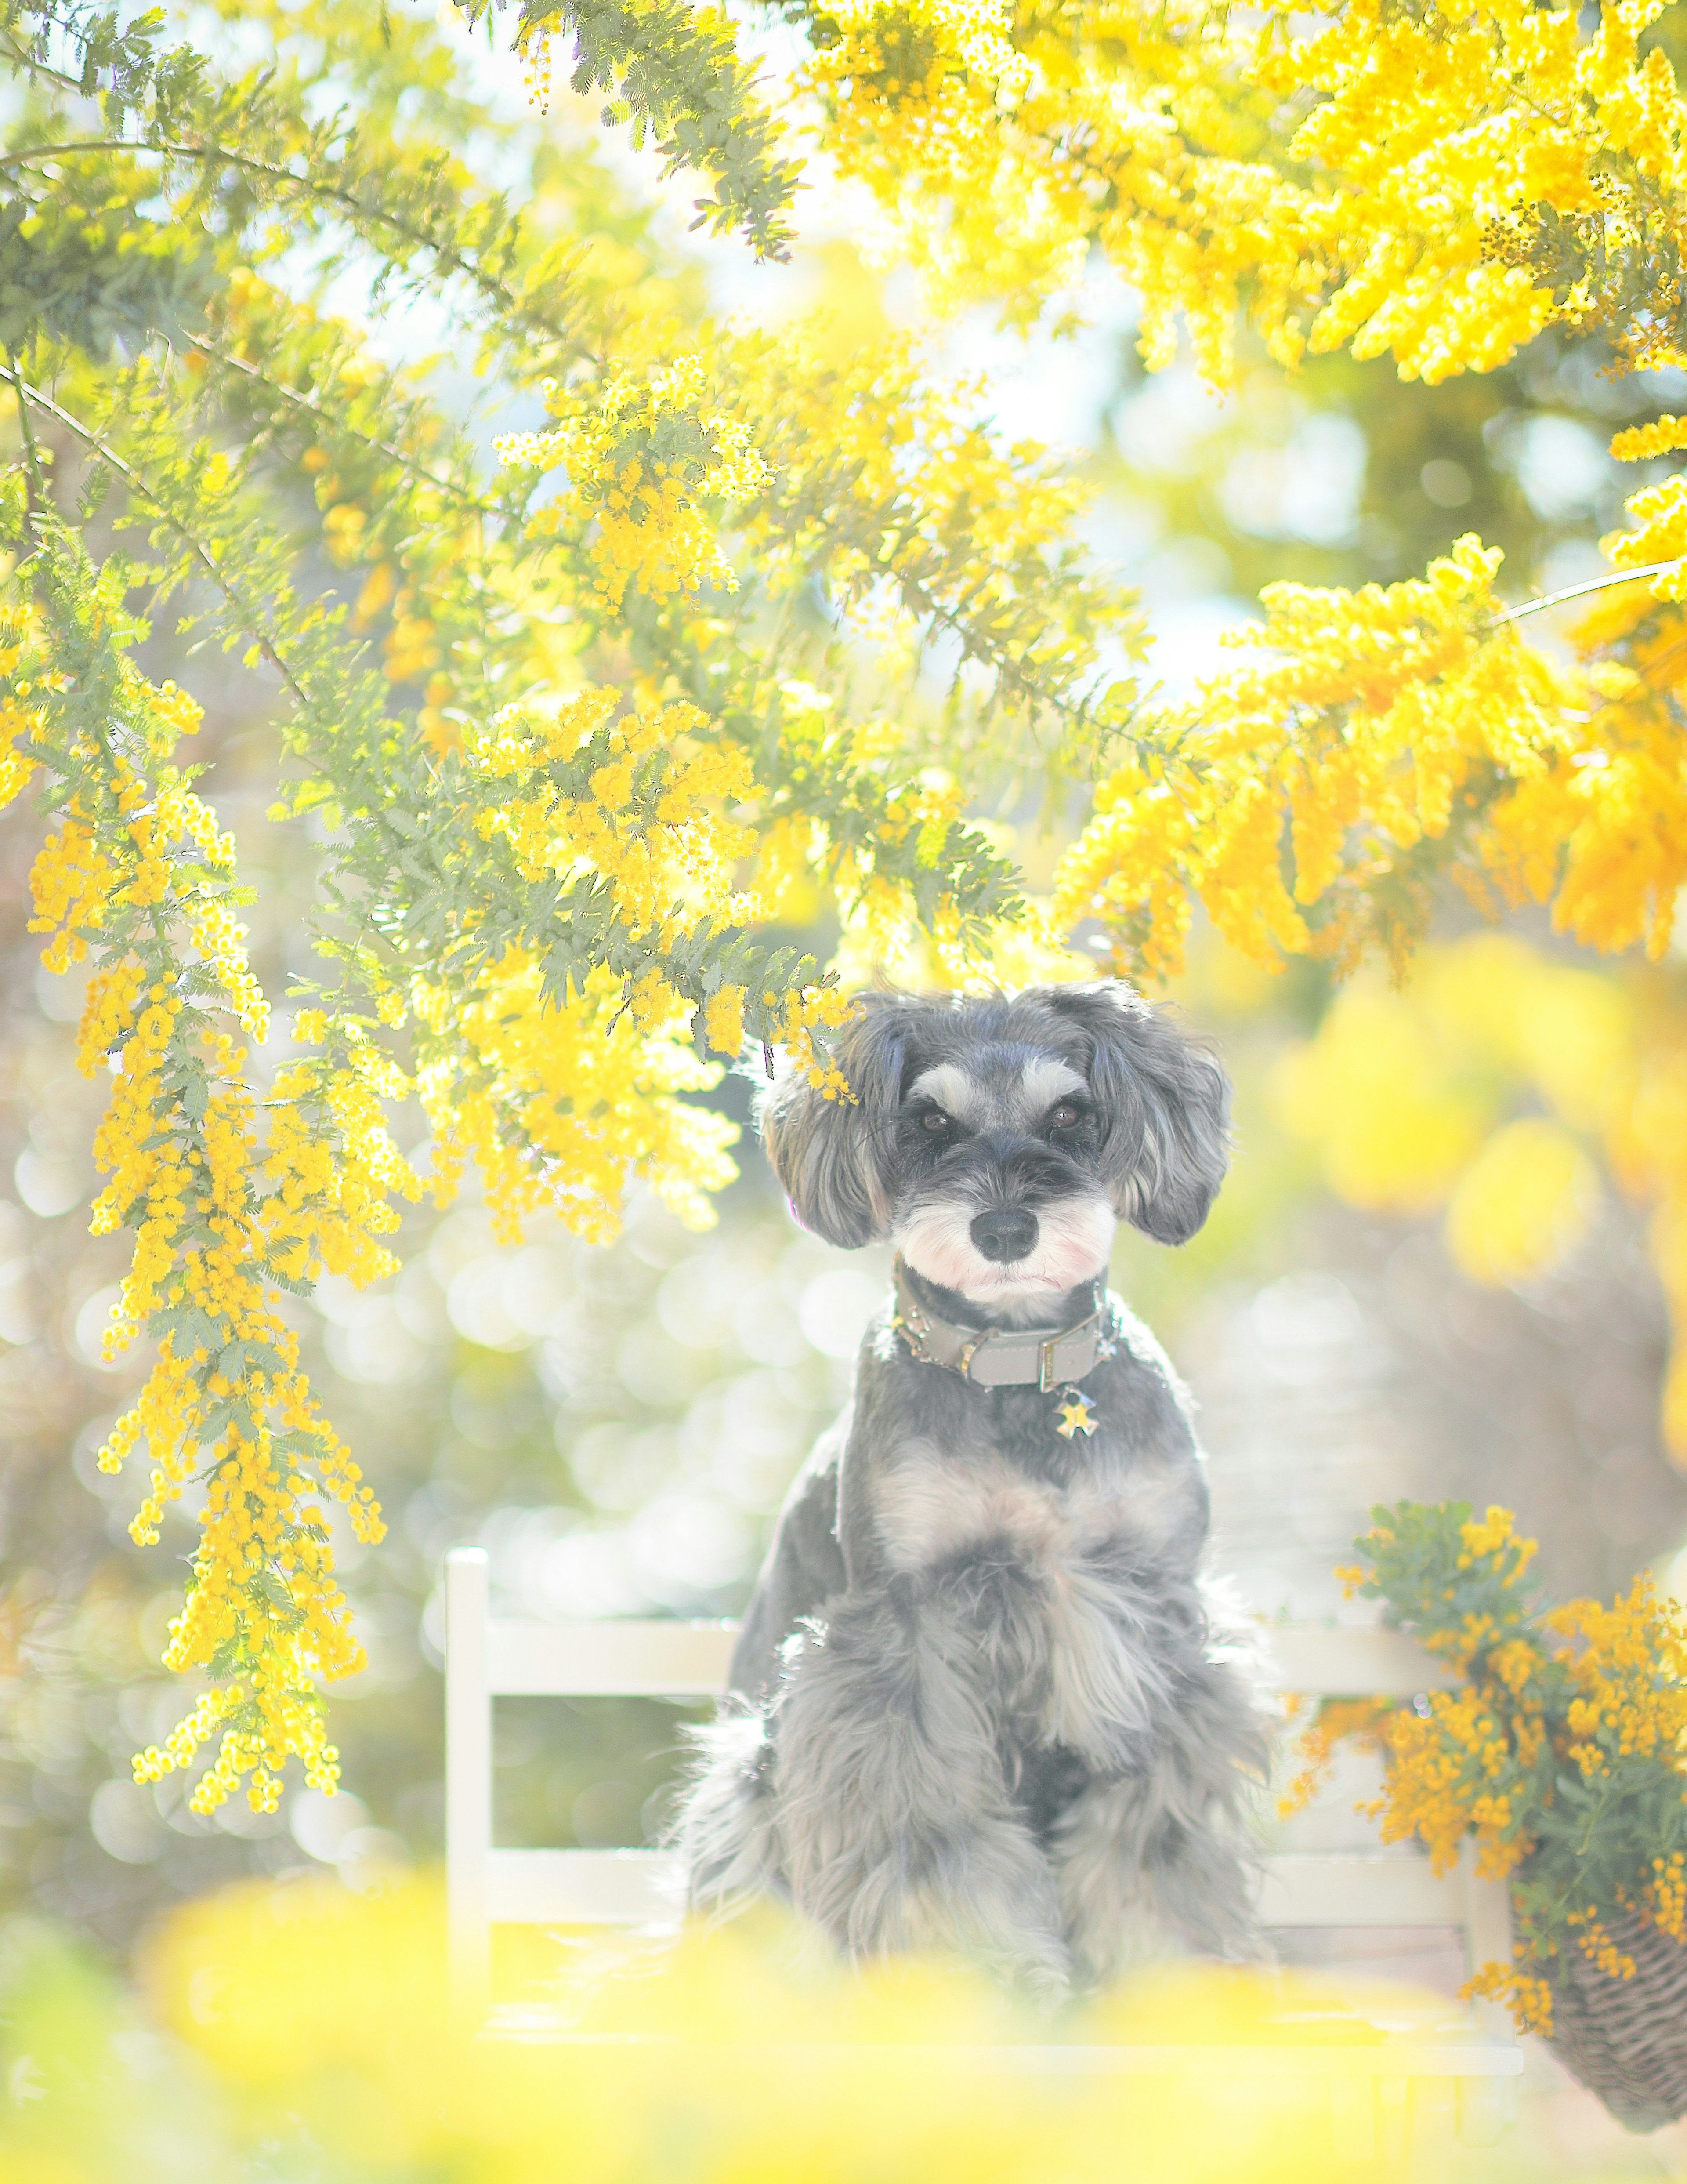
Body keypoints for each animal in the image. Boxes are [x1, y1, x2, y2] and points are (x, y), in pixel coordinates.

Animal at [672, 987, 1266, 2000]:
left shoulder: (1153, 1621)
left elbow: (1157, 1839)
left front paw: (1168, 1979)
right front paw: (978, 1978)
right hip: (748, 1794)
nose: (1005, 1231)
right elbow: (928, 1836)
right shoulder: (902, 1633)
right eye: (929, 1124)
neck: (1021, 1369)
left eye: (1069, 1113)